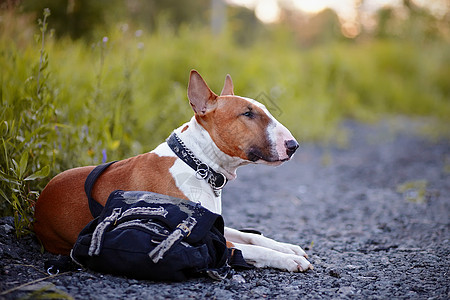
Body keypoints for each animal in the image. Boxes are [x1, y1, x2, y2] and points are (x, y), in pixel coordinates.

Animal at [34, 69, 312, 272]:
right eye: (247, 114)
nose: (293, 146)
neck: (197, 164)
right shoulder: (200, 235)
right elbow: (254, 249)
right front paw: (289, 260)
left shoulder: (214, 224)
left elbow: (254, 237)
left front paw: (288, 248)